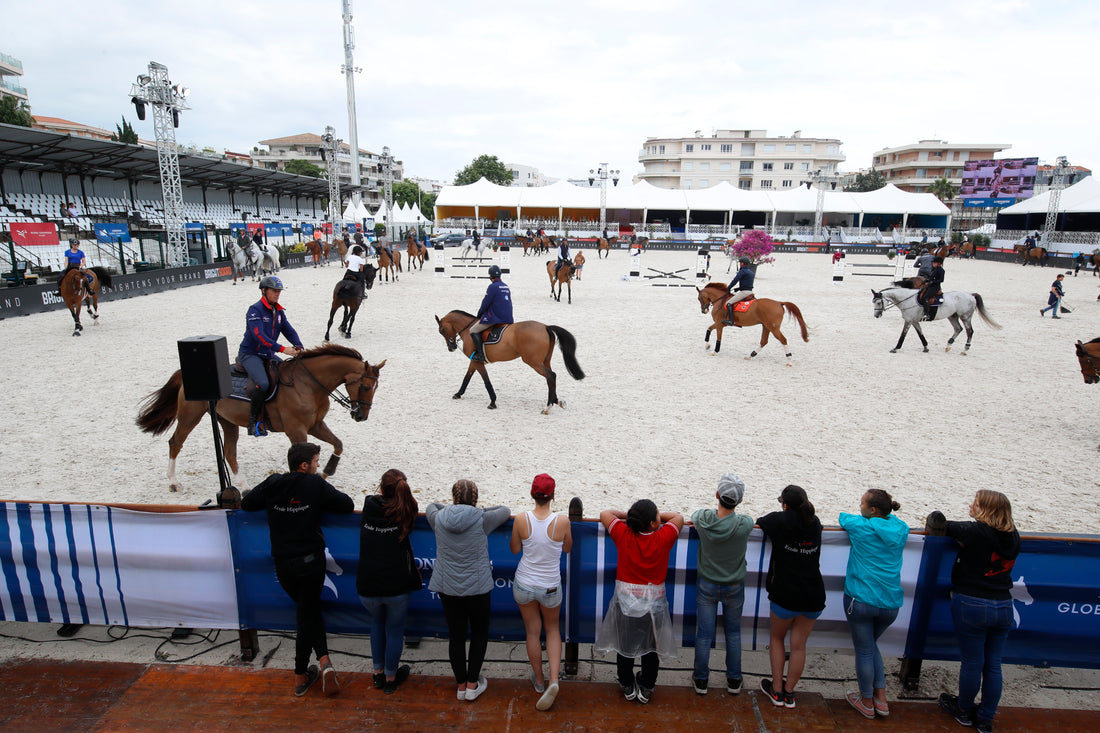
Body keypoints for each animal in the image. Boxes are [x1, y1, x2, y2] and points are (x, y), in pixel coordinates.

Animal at [136, 343, 387, 490]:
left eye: (375, 388)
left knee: (229, 452)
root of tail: (185, 373)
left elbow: (338, 444)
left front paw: (327, 471)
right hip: (190, 416)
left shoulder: (315, 425)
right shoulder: (297, 431)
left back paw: (243, 485)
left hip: (227, 422)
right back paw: (173, 481)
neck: (308, 384)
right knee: (175, 442)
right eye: (366, 387)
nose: (361, 416)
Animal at [433, 308, 585, 411]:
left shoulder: (477, 361)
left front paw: (492, 402)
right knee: (551, 378)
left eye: (442, 330)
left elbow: (486, 380)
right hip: (545, 361)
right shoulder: (474, 361)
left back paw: (548, 406)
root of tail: (545, 327)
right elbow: (467, 377)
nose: (451, 347)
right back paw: (556, 401)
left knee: (551, 376)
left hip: (533, 362)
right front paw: (458, 394)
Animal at [871, 286, 1003, 354]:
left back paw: (965, 349)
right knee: (958, 329)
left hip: (965, 316)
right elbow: (920, 334)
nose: (876, 315)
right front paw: (926, 347)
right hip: (952, 316)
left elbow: (903, 335)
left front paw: (896, 348)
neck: (907, 300)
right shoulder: (914, 321)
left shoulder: (909, 320)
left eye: (878, 302)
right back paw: (948, 345)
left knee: (969, 331)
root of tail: (970, 295)